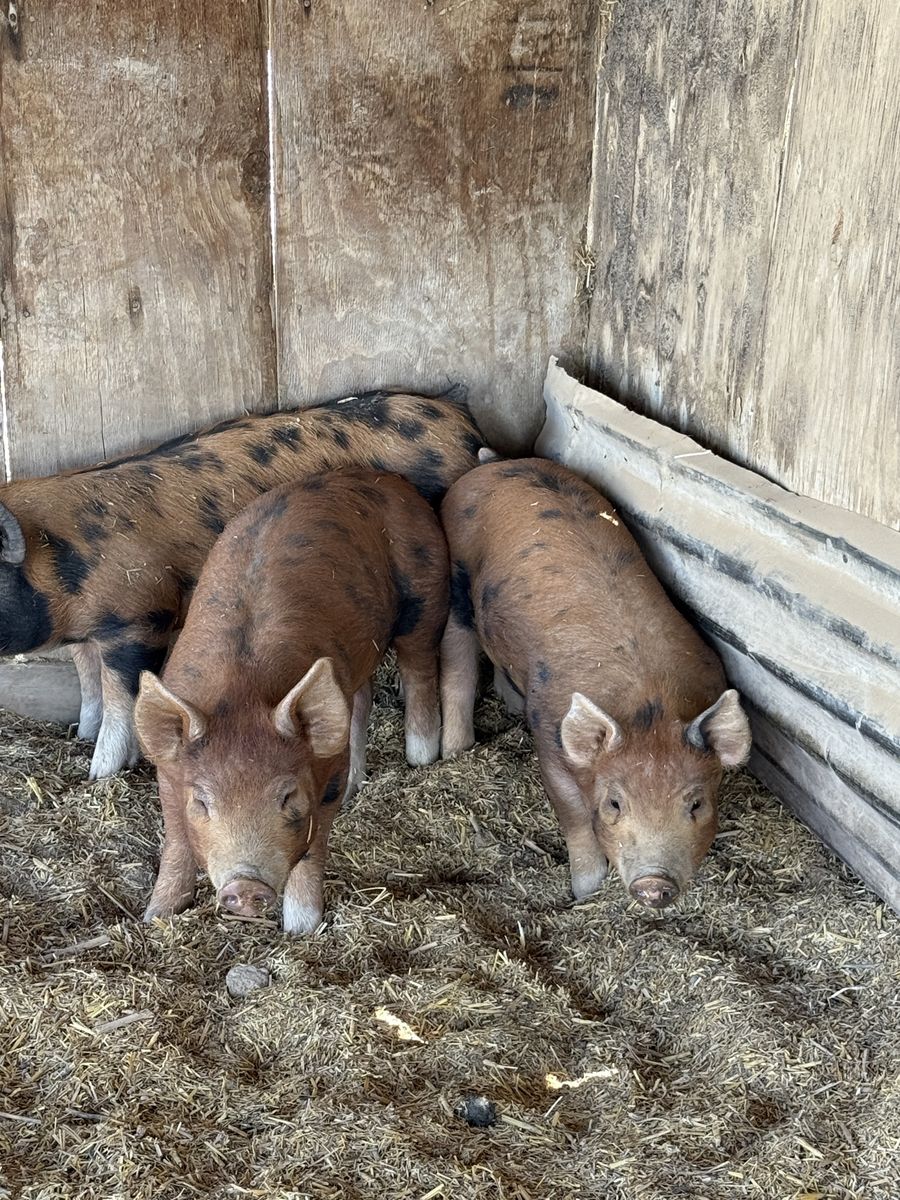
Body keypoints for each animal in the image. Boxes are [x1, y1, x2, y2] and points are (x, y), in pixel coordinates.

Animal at [0, 389, 482, 779]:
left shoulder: (139, 621)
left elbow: (121, 699)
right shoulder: (85, 633)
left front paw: (98, 774)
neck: (62, 563)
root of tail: (462, 421)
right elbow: (89, 686)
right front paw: (81, 735)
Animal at [133, 467, 450, 933]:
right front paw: (157, 915)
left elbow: (314, 846)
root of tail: (383, 479)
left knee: (419, 668)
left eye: (287, 797)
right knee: (359, 698)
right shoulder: (169, 771)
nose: (246, 886)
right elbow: (175, 839)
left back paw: (421, 757)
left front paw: (301, 927)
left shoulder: (325, 773)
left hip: (425, 596)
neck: (243, 687)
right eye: (203, 801)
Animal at [439, 458, 751, 909]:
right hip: (457, 577)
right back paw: (455, 751)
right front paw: (584, 892)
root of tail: (492, 466)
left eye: (695, 804)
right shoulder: (550, 739)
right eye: (615, 803)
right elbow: (573, 816)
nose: (653, 883)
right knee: (457, 660)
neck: (651, 699)